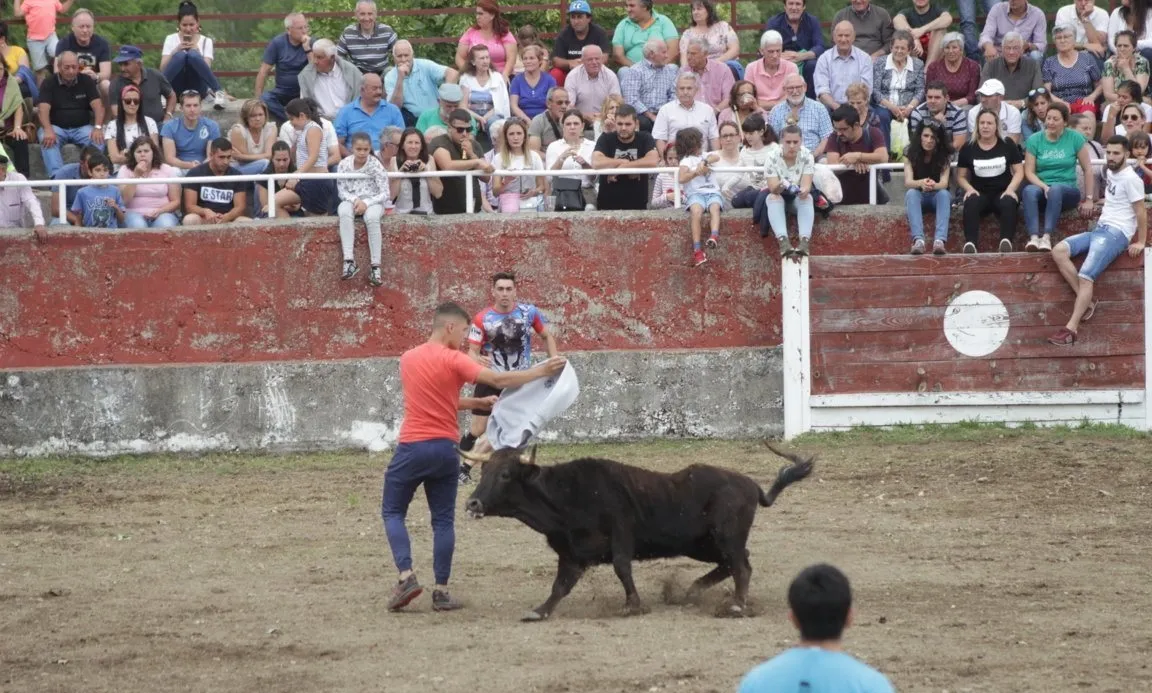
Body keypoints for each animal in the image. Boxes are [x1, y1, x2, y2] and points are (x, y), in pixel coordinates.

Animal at [463, 442, 814, 621]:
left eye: (506, 474)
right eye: (483, 469)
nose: (472, 503)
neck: (566, 494)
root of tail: (752, 485)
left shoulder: (621, 532)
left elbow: (622, 567)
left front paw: (633, 605)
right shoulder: (572, 552)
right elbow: (560, 585)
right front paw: (540, 611)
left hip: (726, 536)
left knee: (741, 566)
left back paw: (736, 606)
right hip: (702, 544)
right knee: (734, 562)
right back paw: (691, 592)